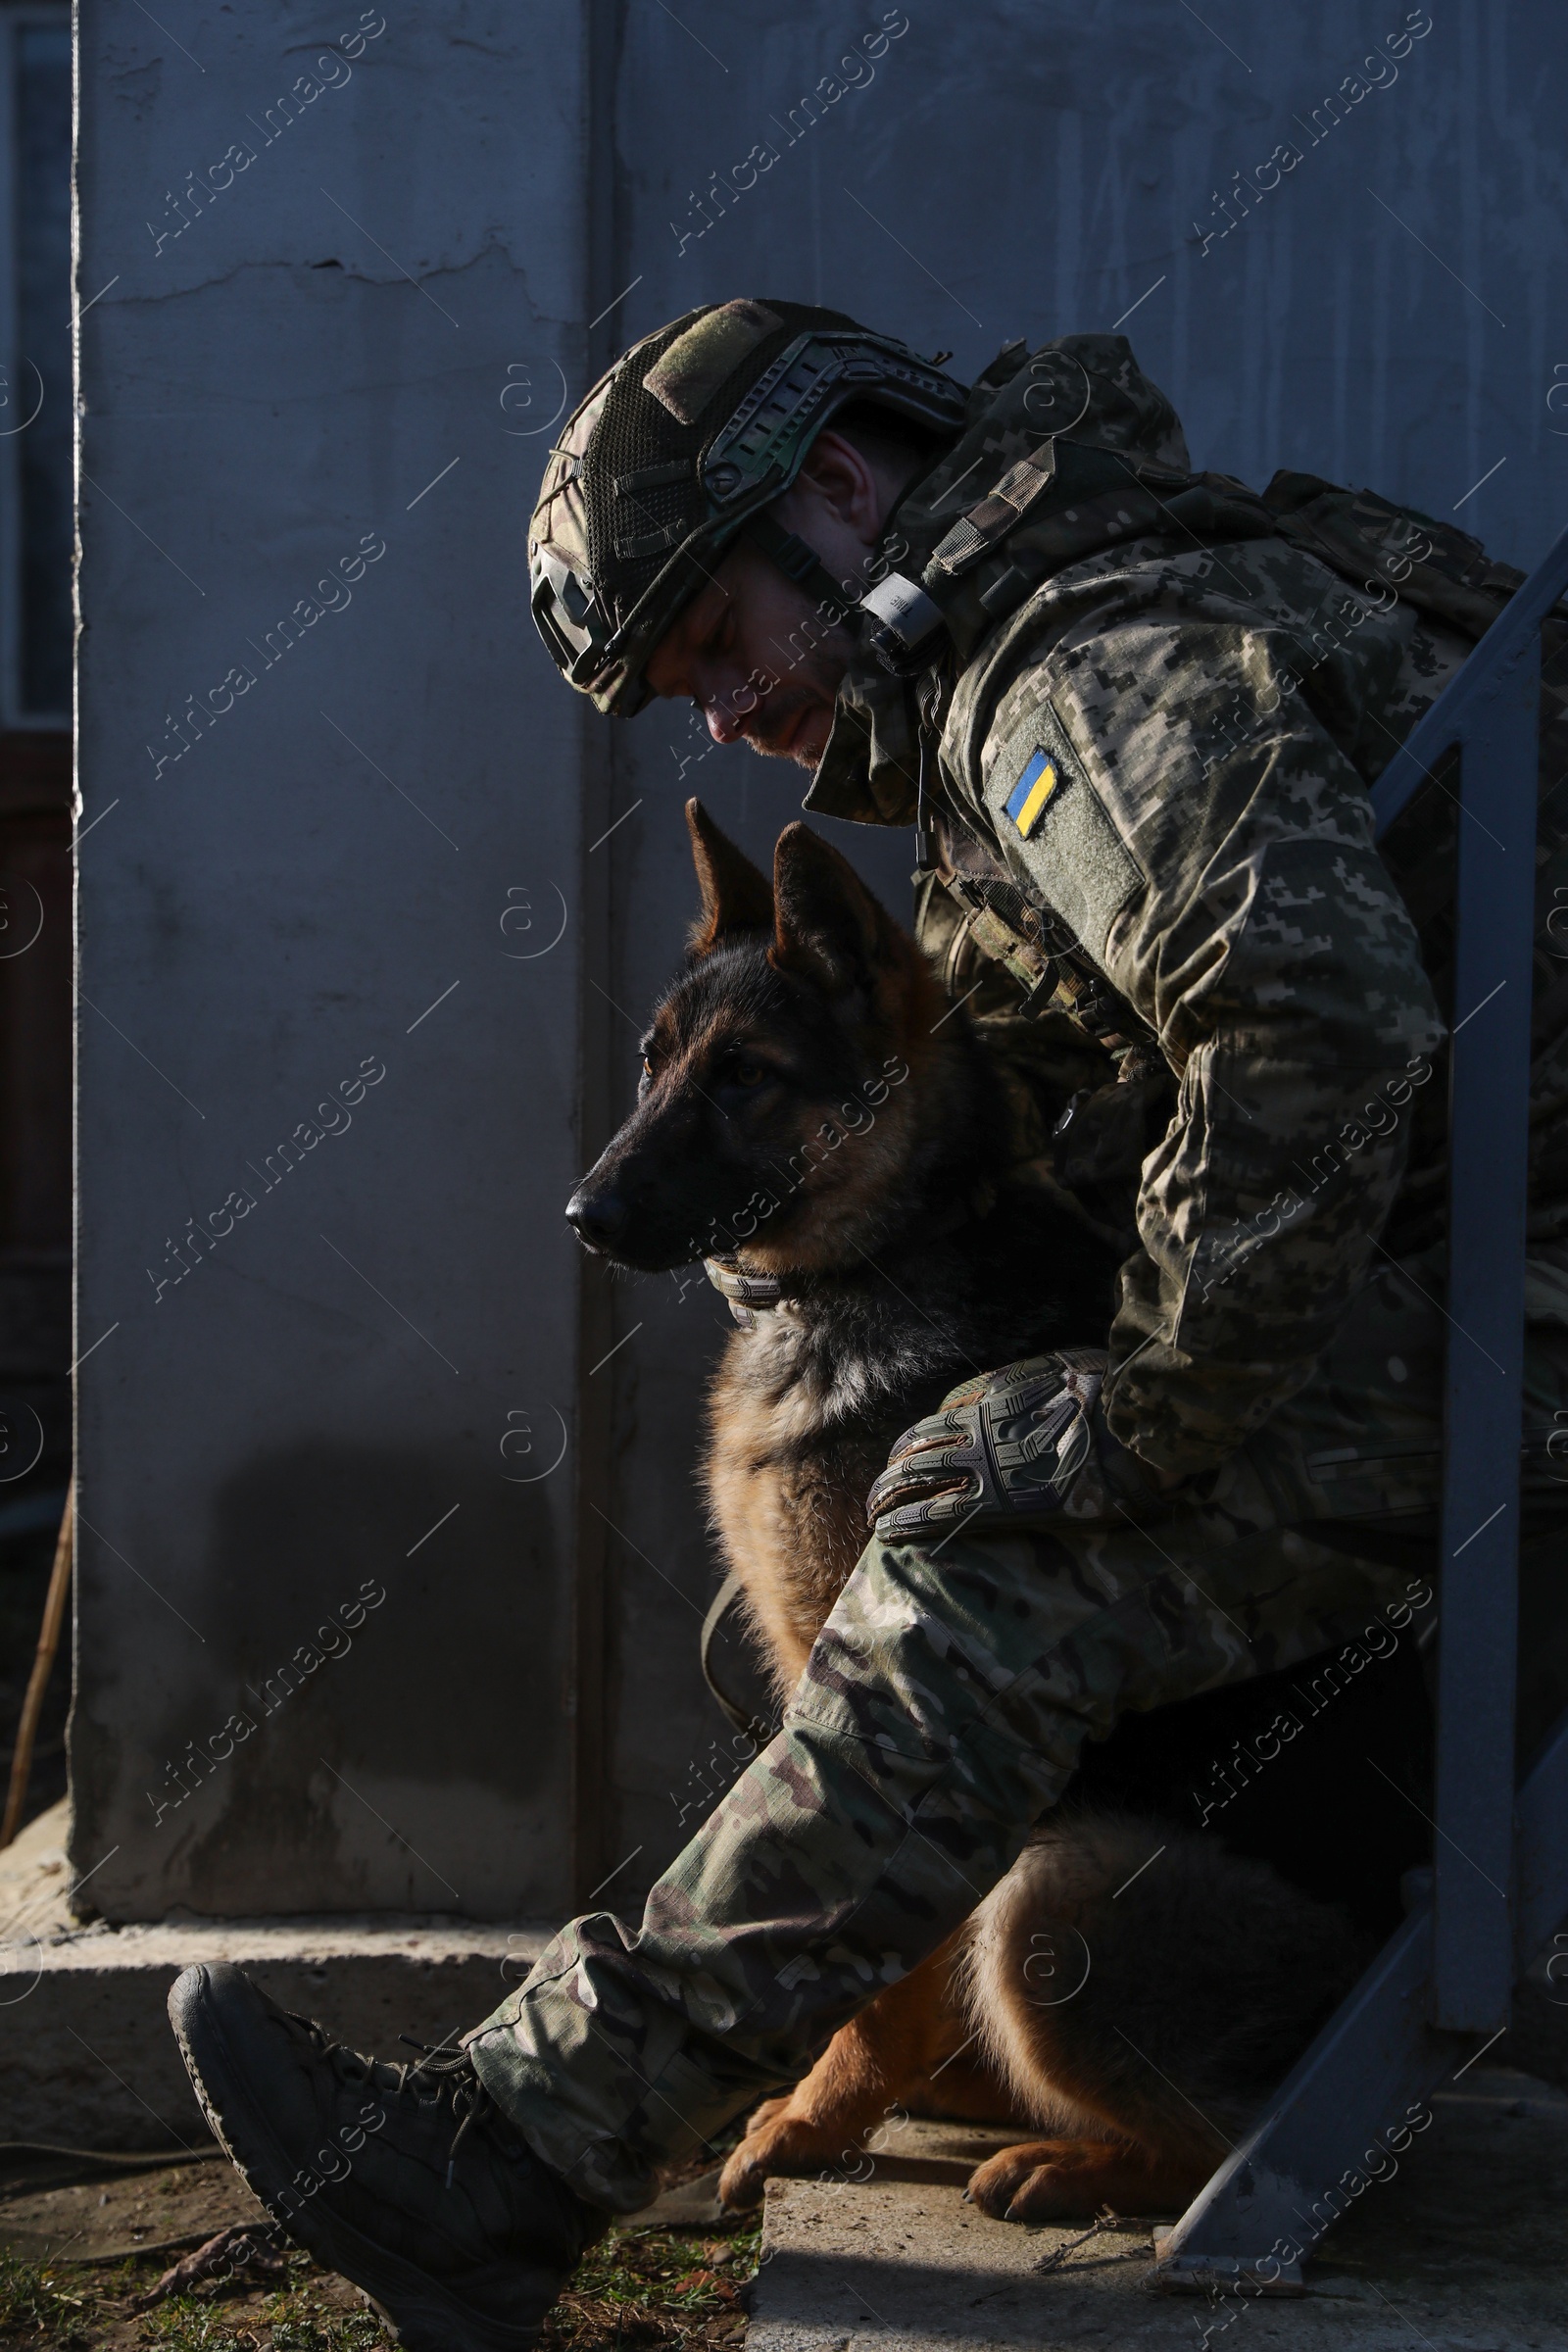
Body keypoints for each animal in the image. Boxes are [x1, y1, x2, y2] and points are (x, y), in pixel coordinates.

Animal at [570, 808, 1429, 2220]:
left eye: (746, 1075)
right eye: (653, 1065)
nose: (583, 1217)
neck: (890, 1247)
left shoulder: (868, 1696)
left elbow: (880, 1976)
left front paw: (813, 2121)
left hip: (1053, 1889)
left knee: (1230, 2151)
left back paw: (1061, 2162)